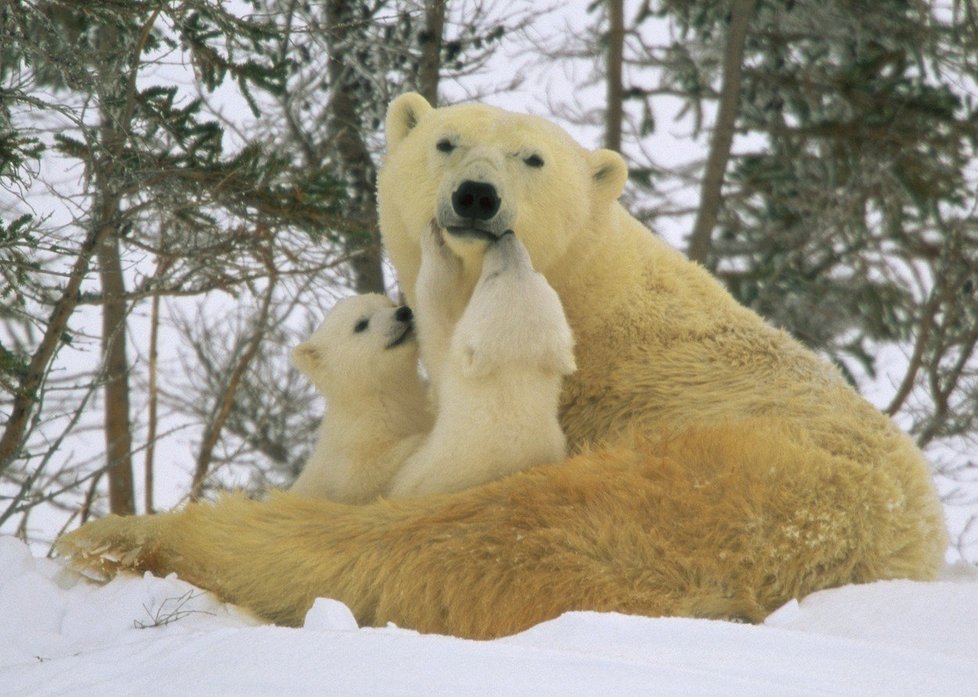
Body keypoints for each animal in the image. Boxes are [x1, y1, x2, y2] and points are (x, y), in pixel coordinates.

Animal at [59, 95, 944, 640]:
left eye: (532, 159)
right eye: (445, 141)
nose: (475, 197)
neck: (597, 293)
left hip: (729, 487)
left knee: (477, 541)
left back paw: (127, 537)